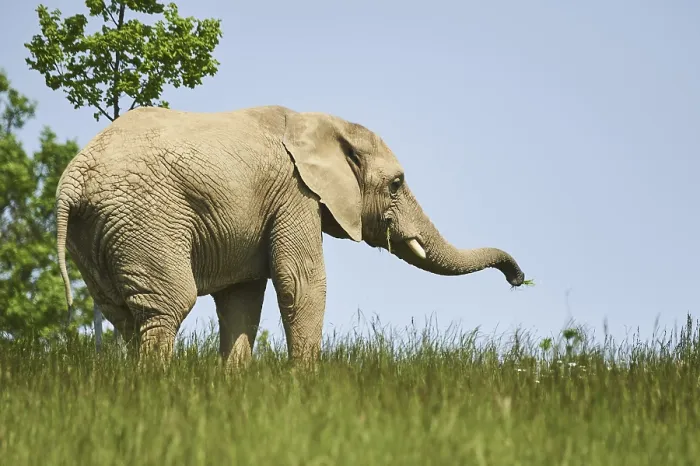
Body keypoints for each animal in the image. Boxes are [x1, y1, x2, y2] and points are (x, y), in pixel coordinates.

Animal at [55, 105, 526, 367]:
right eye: (396, 184)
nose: (518, 279)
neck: (325, 124)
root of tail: (72, 180)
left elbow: (242, 298)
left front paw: (233, 387)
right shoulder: (295, 193)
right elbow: (302, 282)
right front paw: (305, 385)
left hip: (99, 231)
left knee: (122, 314)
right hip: (145, 218)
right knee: (167, 305)